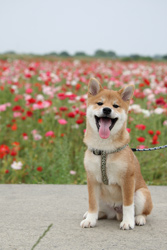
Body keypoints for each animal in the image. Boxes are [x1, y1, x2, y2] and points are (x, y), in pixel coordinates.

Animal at [80, 78, 153, 230]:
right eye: (100, 103)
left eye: (115, 105)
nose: (107, 110)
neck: (104, 150)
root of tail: (115, 212)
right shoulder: (92, 179)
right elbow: (92, 203)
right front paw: (90, 219)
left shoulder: (127, 179)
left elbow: (128, 205)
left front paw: (128, 222)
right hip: (102, 197)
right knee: (100, 210)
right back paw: (93, 215)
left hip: (142, 194)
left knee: (142, 212)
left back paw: (138, 219)